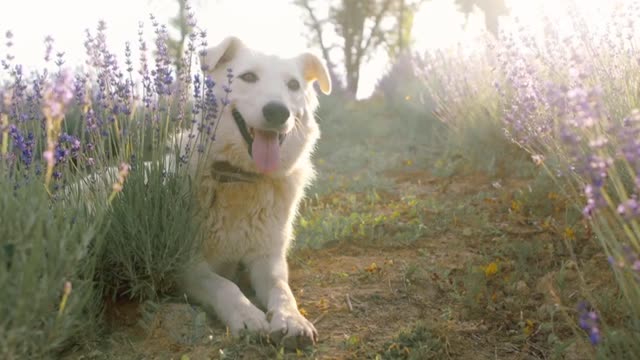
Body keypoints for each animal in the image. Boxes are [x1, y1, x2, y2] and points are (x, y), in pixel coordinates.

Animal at [178, 36, 332, 348]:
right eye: (248, 77)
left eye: (293, 85)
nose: (277, 111)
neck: (241, 180)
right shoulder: (187, 266)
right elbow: (223, 284)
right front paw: (247, 315)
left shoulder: (268, 260)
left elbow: (283, 290)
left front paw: (292, 320)